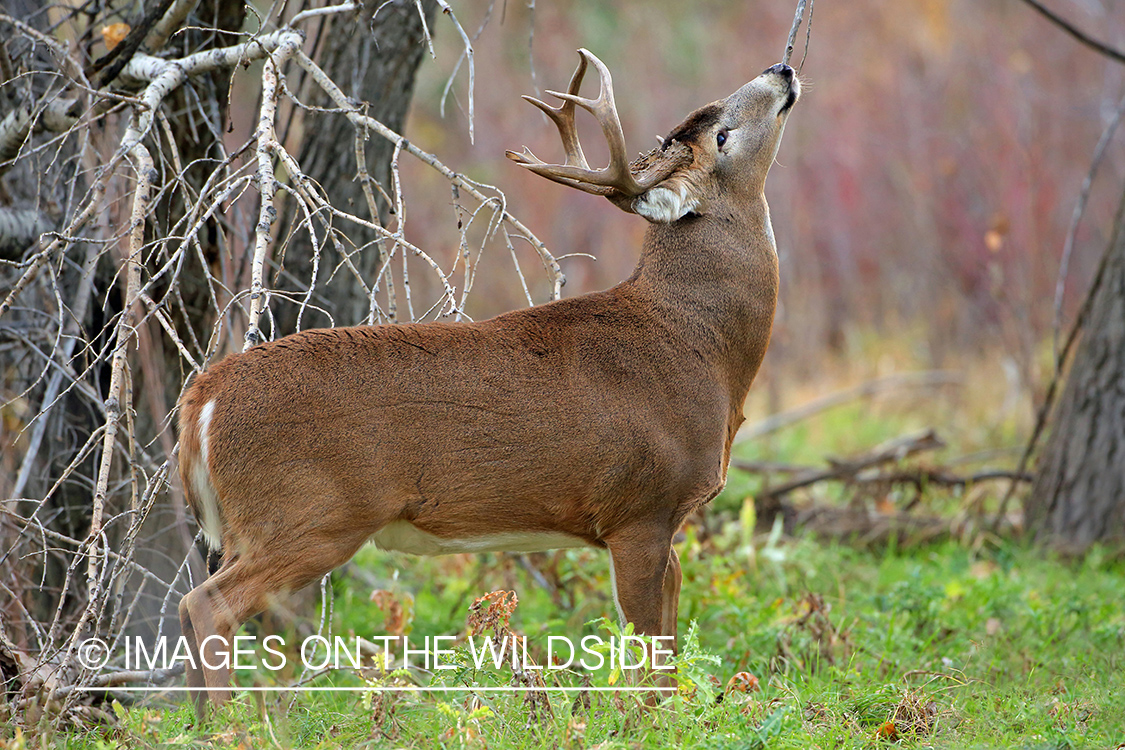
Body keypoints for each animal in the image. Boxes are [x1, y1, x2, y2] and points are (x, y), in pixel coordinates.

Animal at [177, 49, 801, 715]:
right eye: (722, 136)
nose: (782, 69)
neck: (697, 347)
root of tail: (205, 396)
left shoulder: (663, 521)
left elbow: (670, 633)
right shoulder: (639, 507)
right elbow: (645, 651)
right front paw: (649, 722)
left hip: (257, 526)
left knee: (194, 607)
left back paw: (198, 722)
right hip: (309, 515)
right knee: (208, 604)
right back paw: (230, 724)